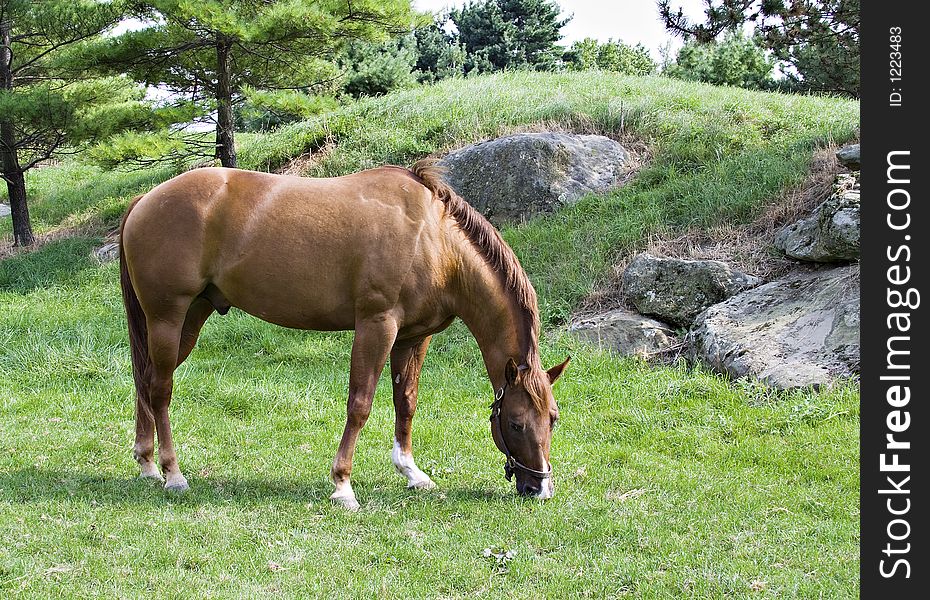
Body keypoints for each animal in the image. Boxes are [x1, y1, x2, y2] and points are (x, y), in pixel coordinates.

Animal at [119, 162, 568, 508]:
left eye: (553, 418)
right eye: (515, 424)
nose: (540, 488)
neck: (433, 240)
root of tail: (145, 199)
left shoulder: (412, 338)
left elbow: (406, 403)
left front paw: (411, 472)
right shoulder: (376, 325)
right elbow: (360, 404)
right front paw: (343, 485)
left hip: (190, 319)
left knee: (145, 380)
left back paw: (147, 464)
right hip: (167, 318)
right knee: (160, 389)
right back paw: (173, 473)